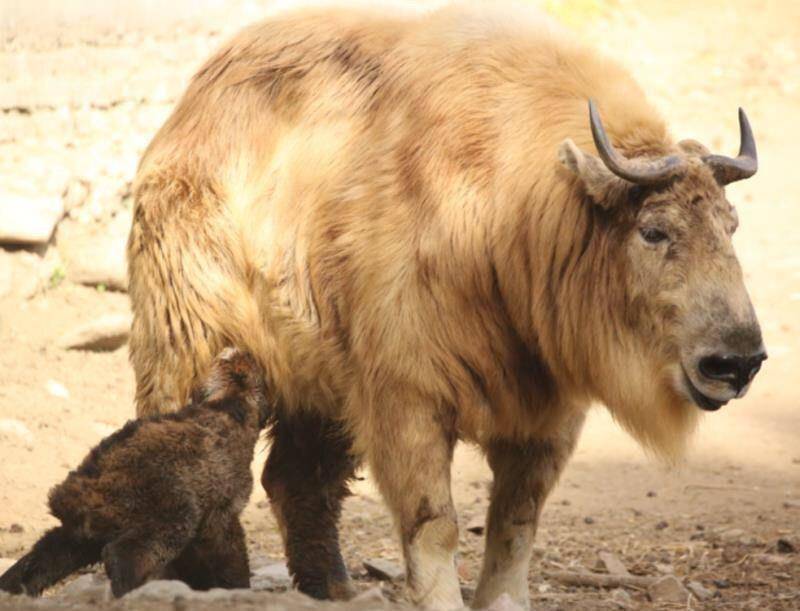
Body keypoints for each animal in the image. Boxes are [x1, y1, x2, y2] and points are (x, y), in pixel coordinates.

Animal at [0, 350, 270, 596]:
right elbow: (230, 554)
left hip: (77, 535)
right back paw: (128, 591)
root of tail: (81, 490)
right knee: (124, 554)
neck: (229, 402)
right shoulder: (221, 511)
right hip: (164, 515)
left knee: (40, 559)